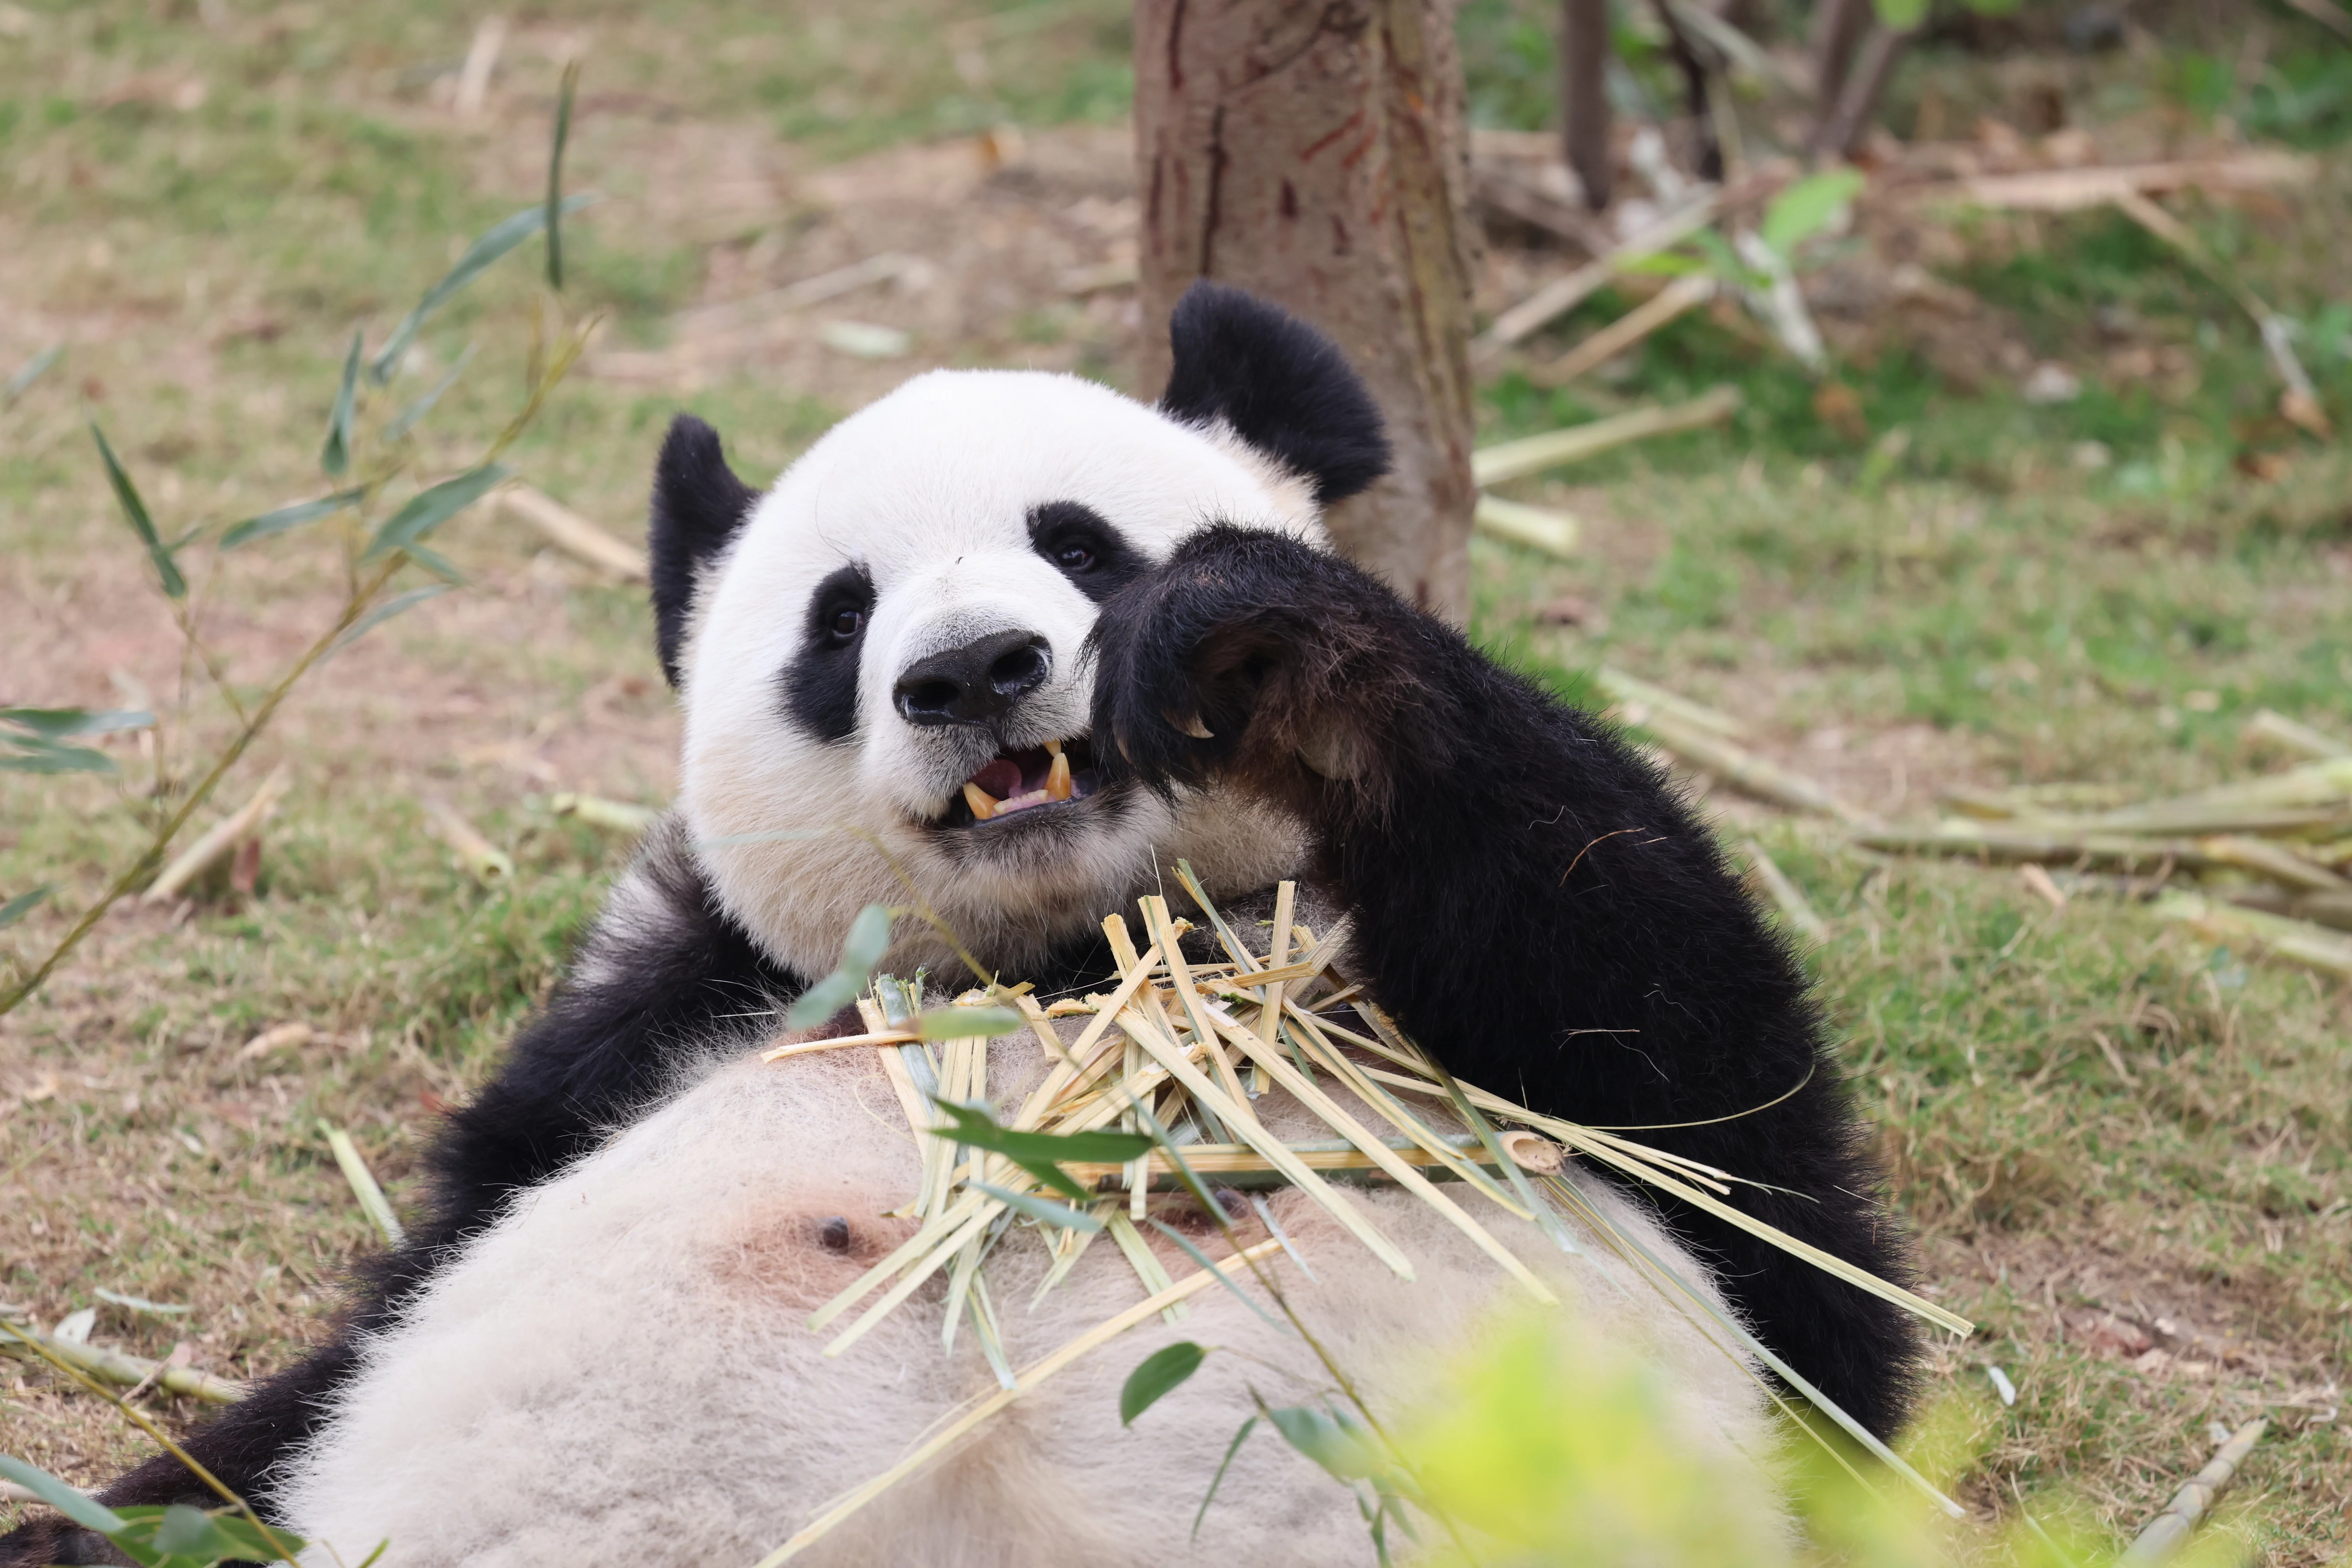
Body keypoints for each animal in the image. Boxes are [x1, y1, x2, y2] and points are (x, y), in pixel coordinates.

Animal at [3, 285, 1918, 1567]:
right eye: (838, 620)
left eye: (1080, 543)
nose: (976, 672)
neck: (1068, 953)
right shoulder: (666, 1018)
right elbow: (324, 1365)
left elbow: (1746, 1160)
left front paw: (1266, 645)